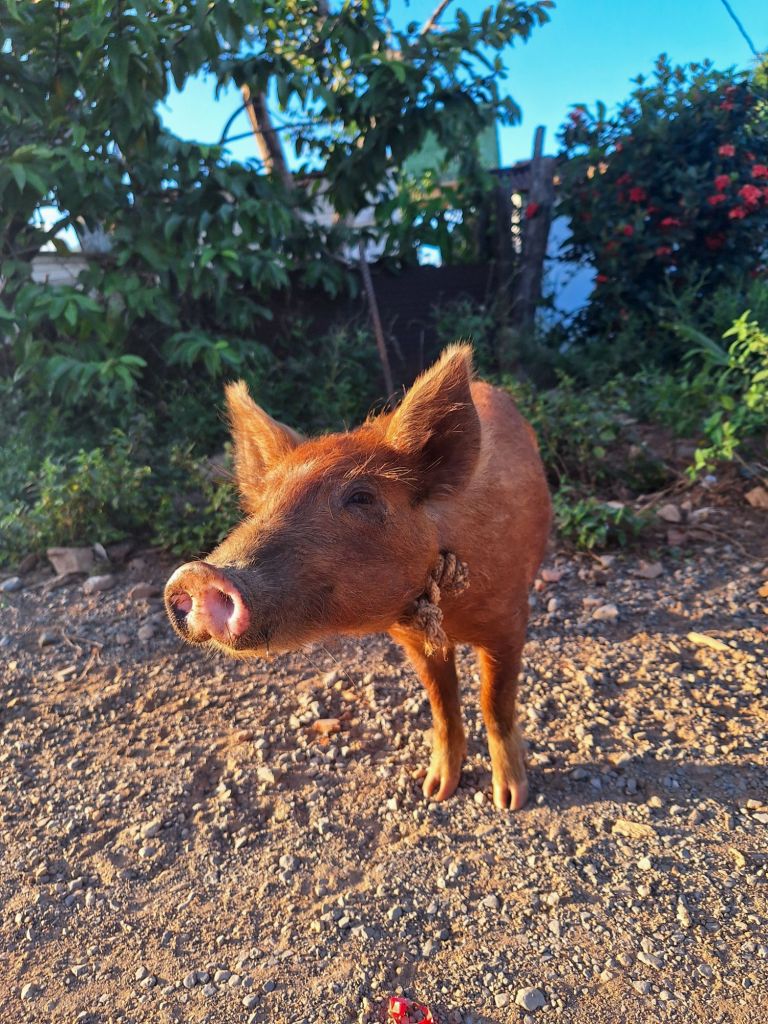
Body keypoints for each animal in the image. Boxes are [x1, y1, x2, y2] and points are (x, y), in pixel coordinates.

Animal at [164, 345, 551, 809]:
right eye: (262, 504)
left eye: (361, 497)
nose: (197, 573)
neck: (450, 617)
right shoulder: (412, 639)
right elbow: (442, 705)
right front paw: (435, 790)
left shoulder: (508, 622)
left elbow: (496, 704)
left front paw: (510, 801)